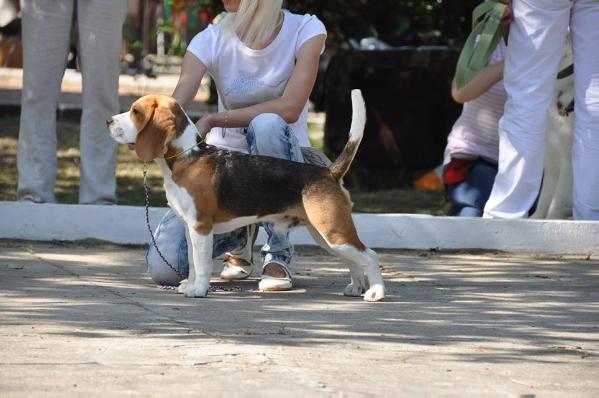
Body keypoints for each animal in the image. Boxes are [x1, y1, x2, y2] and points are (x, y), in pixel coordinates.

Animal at [108, 91, 386, 302]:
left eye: (135, 111)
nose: (109, 121)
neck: (188, 157)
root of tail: (328, 172)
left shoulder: (201, 228)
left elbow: (202, 264)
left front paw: (199, 290)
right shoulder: (191, 228)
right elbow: (195, 263)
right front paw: (190, 285)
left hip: (333, 231)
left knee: (370, 256)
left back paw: (375, 292)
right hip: (326, 235)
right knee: (353, 260)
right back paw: (356, 287)